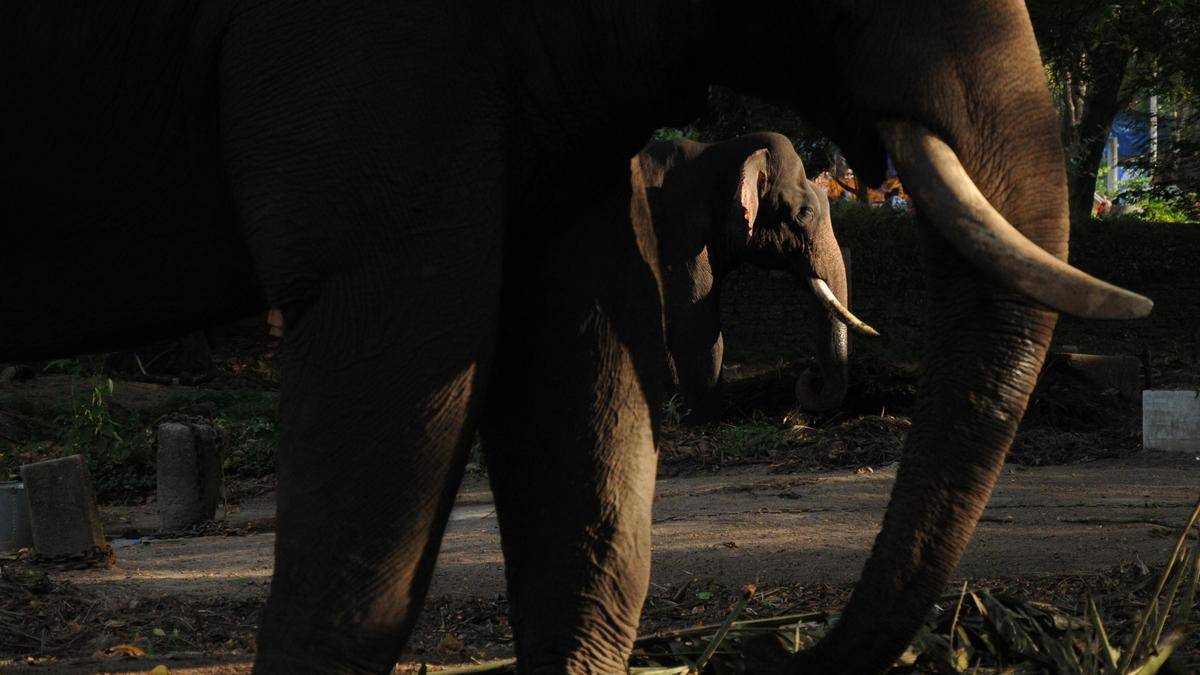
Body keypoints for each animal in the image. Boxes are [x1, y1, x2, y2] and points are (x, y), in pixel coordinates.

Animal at [643, 132, 877, 424]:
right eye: (805, 213)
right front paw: (706, 421)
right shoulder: (678, 236)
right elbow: (694, 325)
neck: (721, 150)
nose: (811, 373)